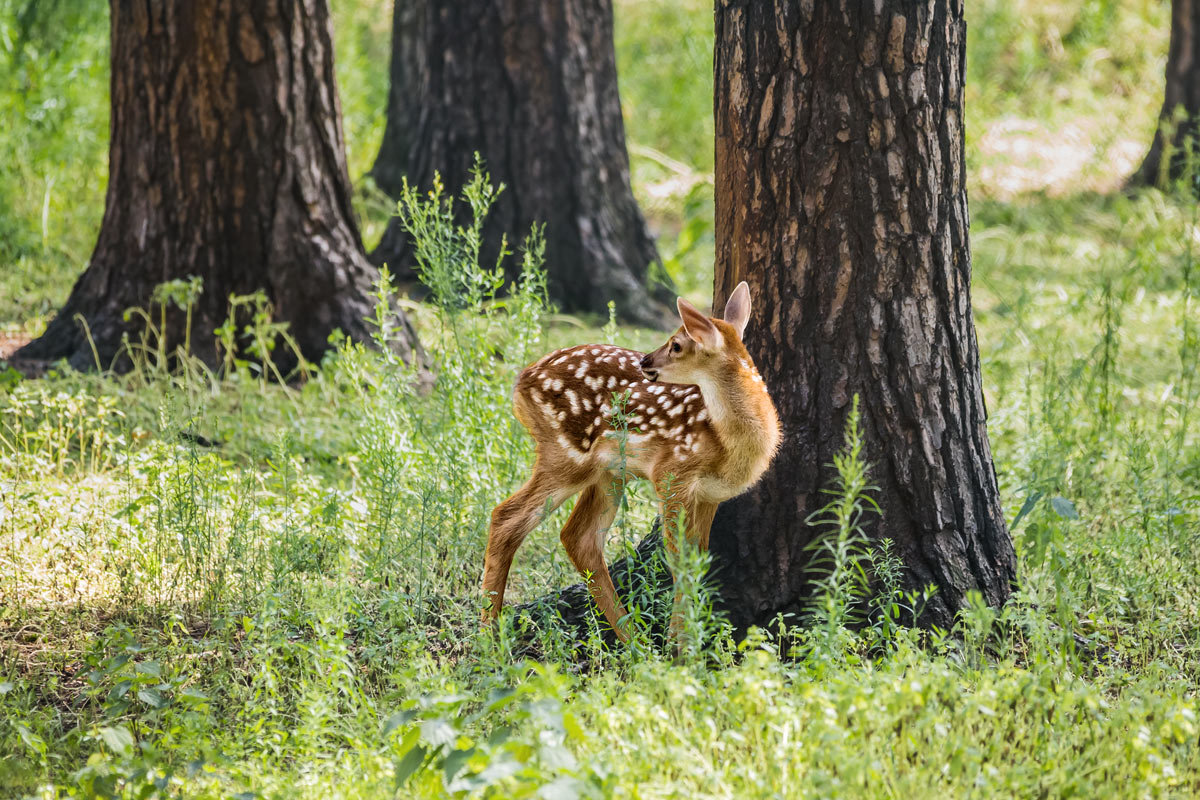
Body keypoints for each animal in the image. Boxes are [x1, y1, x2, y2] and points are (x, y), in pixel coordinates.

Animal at [482, 283, 782, 642]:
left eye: (676, 344)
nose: (645, 360)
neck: (729, 442)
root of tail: (520, 382)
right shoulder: (671, 473)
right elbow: (678, 560)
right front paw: (679, 646)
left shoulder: (710, 494)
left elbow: (698, 561)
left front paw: (685, 639)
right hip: (566, 453)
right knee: (506, 517)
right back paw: (488, 636)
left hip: (608, 472)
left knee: (578, 537)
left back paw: (633, 641)